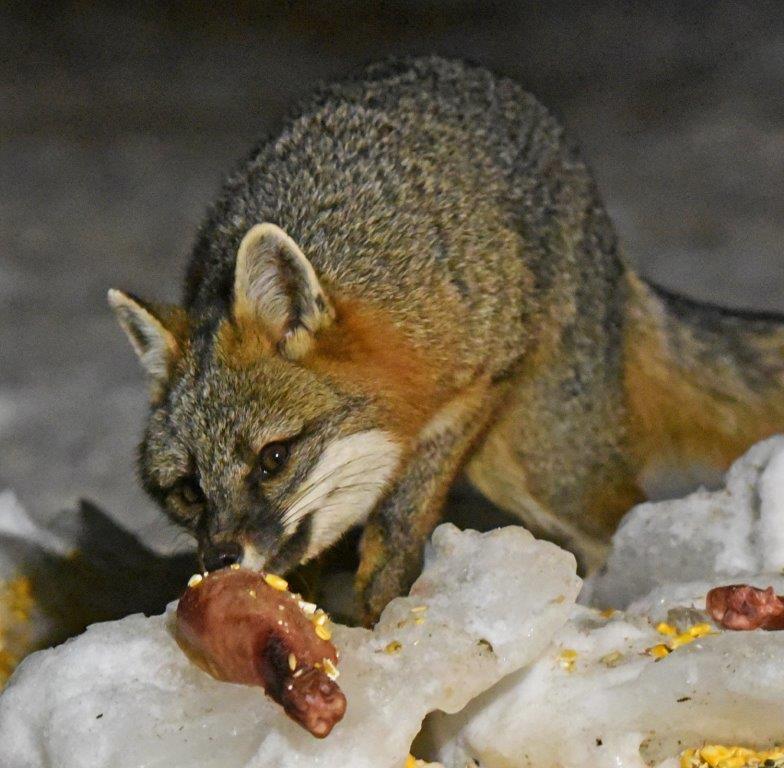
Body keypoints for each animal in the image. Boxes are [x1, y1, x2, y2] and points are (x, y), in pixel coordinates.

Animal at [109, 57, 784, 622]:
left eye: (273, 458)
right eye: (188, 490)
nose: (220, 560)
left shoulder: (478, 383)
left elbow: (398, 523)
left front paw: (382, 612)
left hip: (539, 464)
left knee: (618, 522)